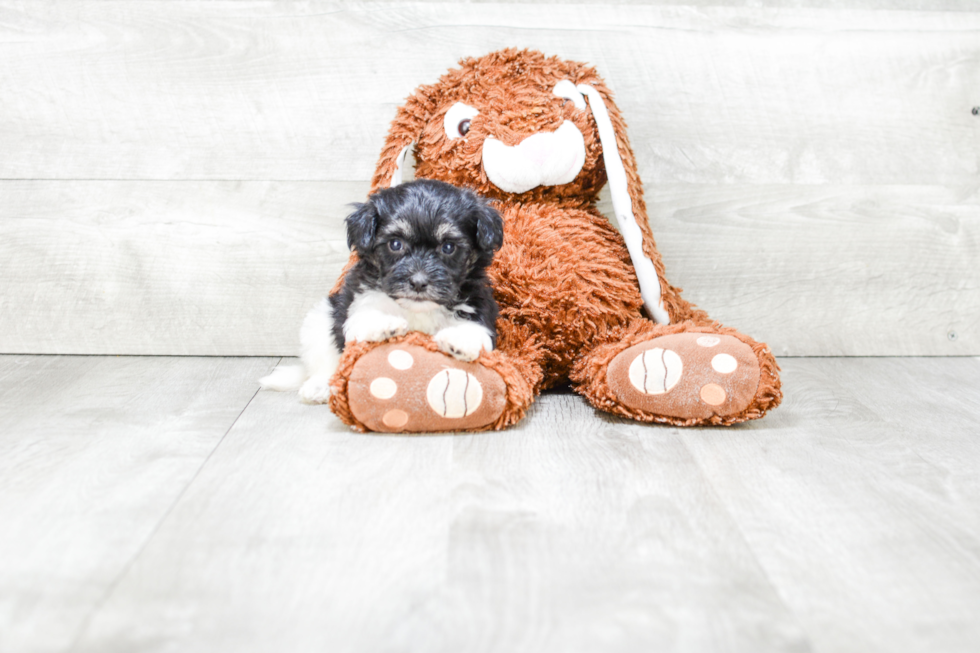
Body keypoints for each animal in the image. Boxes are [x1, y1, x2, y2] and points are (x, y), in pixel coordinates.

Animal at [260, 178, 506, 402]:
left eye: (448, 247)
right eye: (395, 244)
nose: (418, 282)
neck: (417, 310)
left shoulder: (478, 304)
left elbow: (475, 330)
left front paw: (459, 339)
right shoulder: (362, 301)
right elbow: (365, 319)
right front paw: (386, 324)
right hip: (321, 317)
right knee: (324, 358)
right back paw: (319, 386)